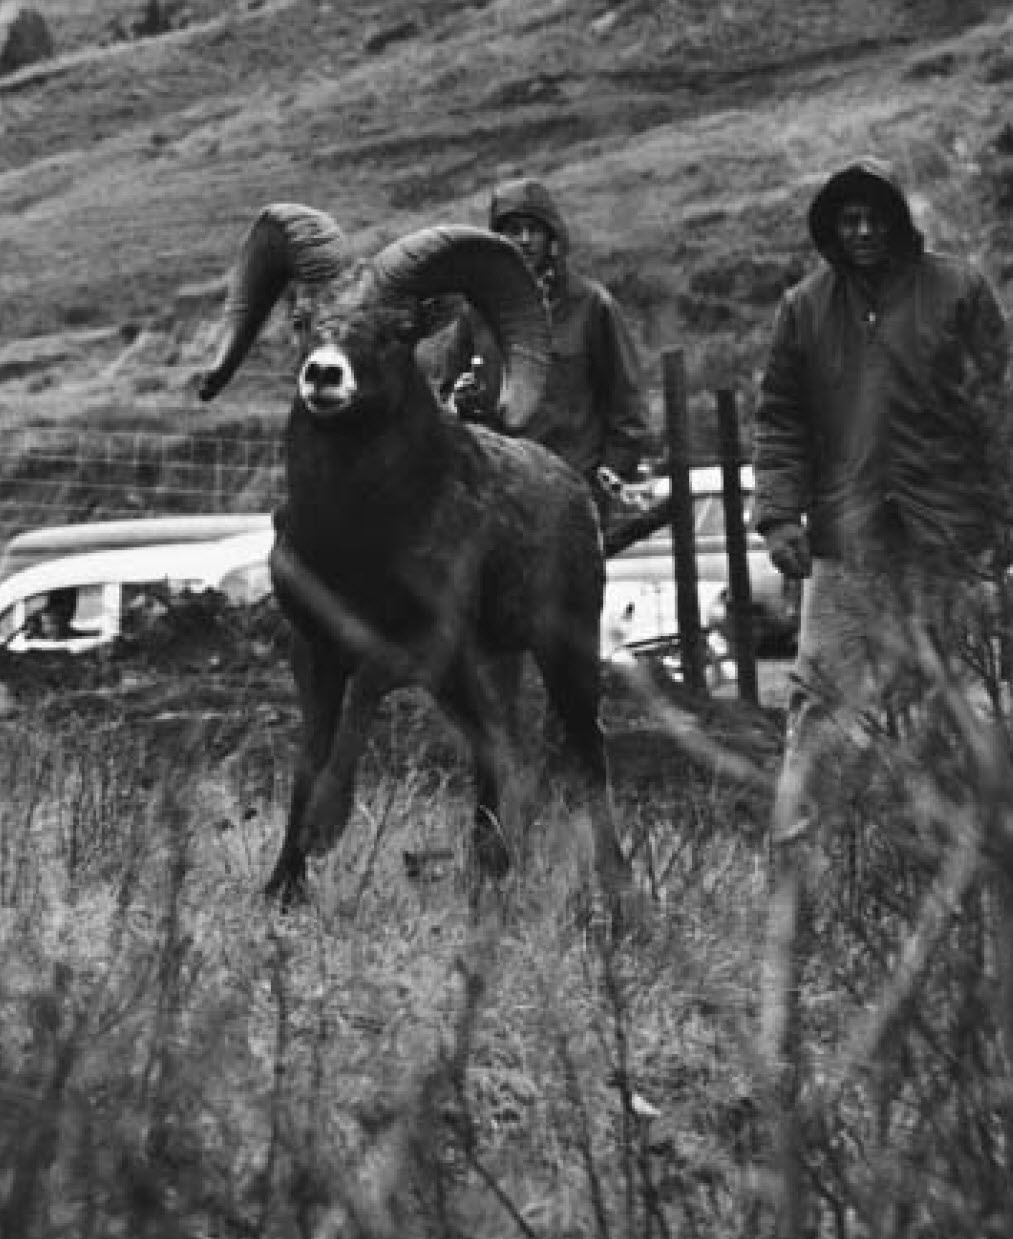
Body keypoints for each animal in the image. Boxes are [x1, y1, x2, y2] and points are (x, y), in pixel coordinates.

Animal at [196, 208, 624, 906]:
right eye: (301, 318)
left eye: (399, 330)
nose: (324, 376)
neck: (352, 539)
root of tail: (576, 490)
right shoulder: (313, 650)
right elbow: (308, 755)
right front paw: (284, 887)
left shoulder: (420, 643)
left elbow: (367, 690)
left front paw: (326, 829)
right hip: (474, 675)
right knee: (496, 750)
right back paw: (489, 875)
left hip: (565, 655)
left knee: (587, 759)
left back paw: (618, 897)